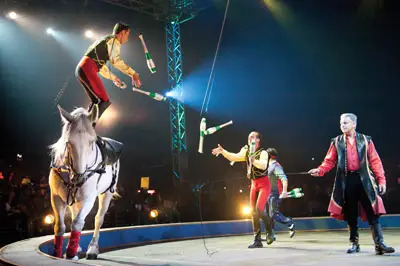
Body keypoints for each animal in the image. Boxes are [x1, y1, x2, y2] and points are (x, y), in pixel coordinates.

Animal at [49, 105, 120, 258]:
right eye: (68, 142)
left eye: (92, 142)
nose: (79, 178)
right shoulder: (56, 197)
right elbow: (59, 226)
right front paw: (58, 252)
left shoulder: (89, 198)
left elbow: (77, 222)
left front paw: (71, 252)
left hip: (107, 194)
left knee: (98, 218)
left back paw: (92, 248)